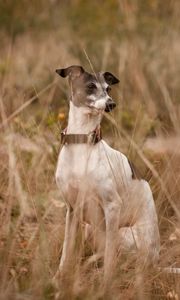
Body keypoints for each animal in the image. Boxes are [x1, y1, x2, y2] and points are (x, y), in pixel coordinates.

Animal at [54, 65, 160, 282]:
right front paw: (59, 277)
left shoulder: (112, 207)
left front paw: (106, 283)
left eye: (108, 88)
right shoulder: (72, 209)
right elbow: (66, 249)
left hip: (124, 233)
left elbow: (110, 257)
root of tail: (157, 260)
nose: (112, 104)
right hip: (90, 229)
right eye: (90, 86)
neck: (81, 143)